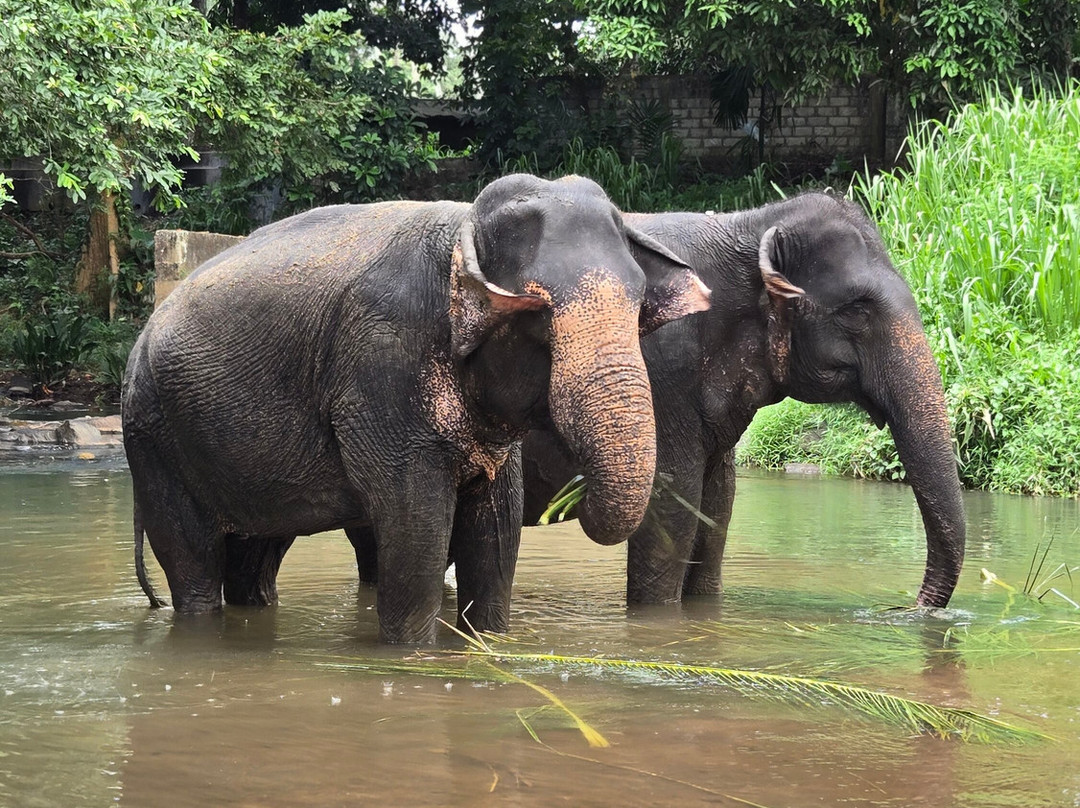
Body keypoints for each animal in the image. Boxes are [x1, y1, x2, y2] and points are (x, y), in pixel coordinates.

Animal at [123, 173, 711, 644]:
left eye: (639, 305)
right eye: (538, 314)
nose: (573, 496)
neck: (464, 229)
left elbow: (498, 526)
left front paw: (489, 646)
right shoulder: (381, 365)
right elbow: (415, 523)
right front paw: (412, 656)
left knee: (255, 561)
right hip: (154, 439)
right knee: (193, 565)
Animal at [343, 191, 964, 609]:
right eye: (859, 309)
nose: (904, 609)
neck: (748, 224)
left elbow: (719, 507)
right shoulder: (667, 373)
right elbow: (672, 510)